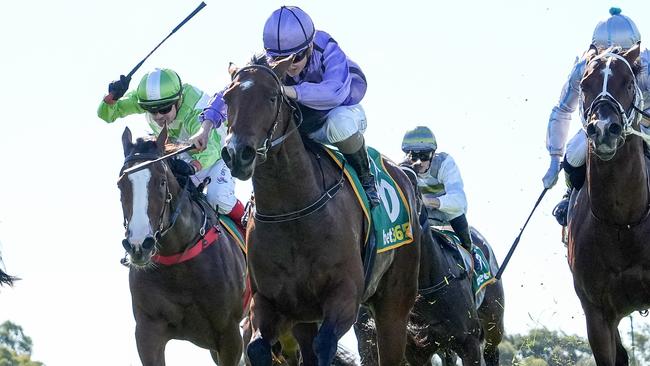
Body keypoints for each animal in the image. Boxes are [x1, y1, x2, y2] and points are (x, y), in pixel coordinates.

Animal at [219, 55, 420, 364]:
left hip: (395, 303)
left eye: (272, 96)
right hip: (303, 315)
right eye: (228, 97)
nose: (237, 154)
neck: (292, 212)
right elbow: (256, 347)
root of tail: (404, 175)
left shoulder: (345, 293)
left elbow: (325, 343)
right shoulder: (269, 301)